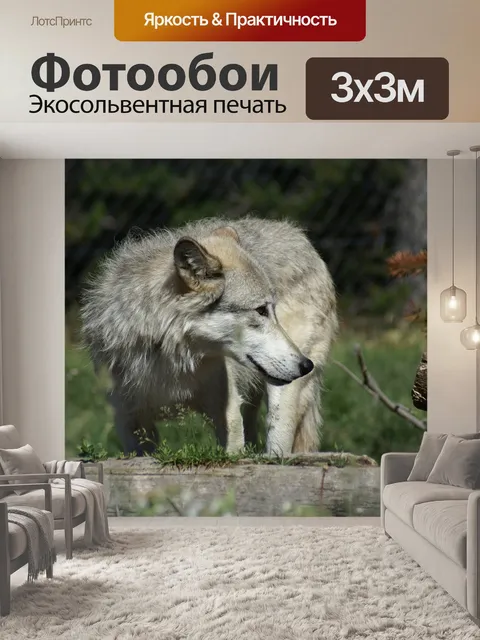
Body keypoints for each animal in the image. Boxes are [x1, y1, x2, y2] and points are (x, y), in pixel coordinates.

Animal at [80, 216, 338, 456]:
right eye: (261, 310)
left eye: (271, 309)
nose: (306, 365)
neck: (171, 358)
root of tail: (300, 237)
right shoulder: (130, 422)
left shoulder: (228, 412)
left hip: (282, 397)